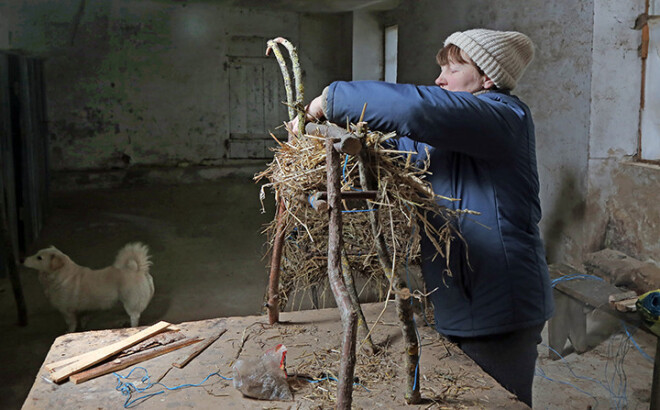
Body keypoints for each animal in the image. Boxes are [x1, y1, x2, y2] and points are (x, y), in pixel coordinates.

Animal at [23, 242, 155, 332]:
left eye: (39, 258)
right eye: (36, 254)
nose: (22, 259)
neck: (62, 275)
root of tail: (138, 269)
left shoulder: (66, 310)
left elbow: (71, 324)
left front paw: (69, 332)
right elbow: (82, 319)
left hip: (131, 302)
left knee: (134, 316)